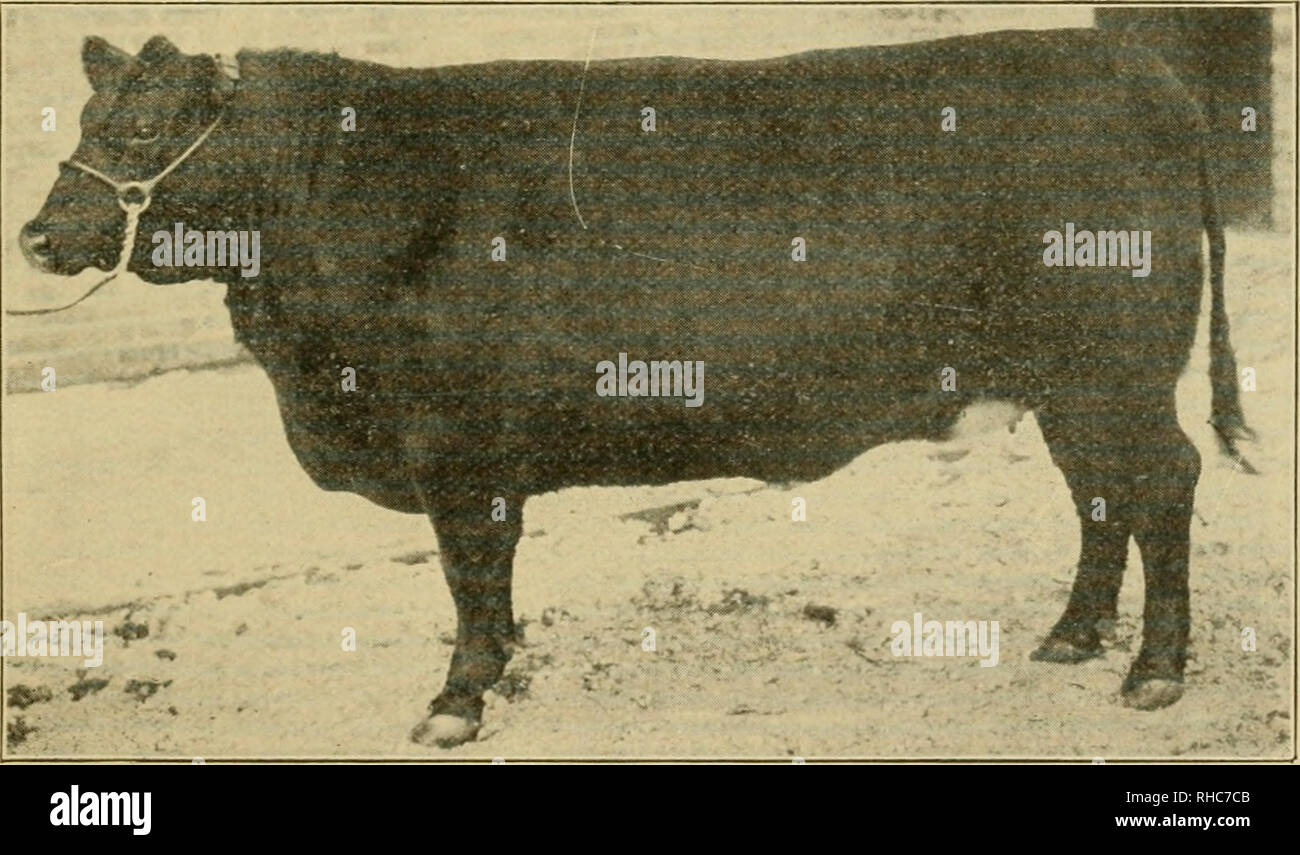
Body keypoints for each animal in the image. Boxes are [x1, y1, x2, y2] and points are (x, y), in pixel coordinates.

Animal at [17, 30, 1253, 748]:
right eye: (84, 120)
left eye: (138, 126)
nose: (37, 234)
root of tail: (1150, 75)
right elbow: (490, 574)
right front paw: (499, 669)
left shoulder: (454, 444)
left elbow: (468, 574)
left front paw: (458, 698)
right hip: (1071, 382)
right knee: (1101, 495)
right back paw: (1071, 636)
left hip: (1115, 371)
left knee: (1163, 485)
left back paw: (1152, 673)